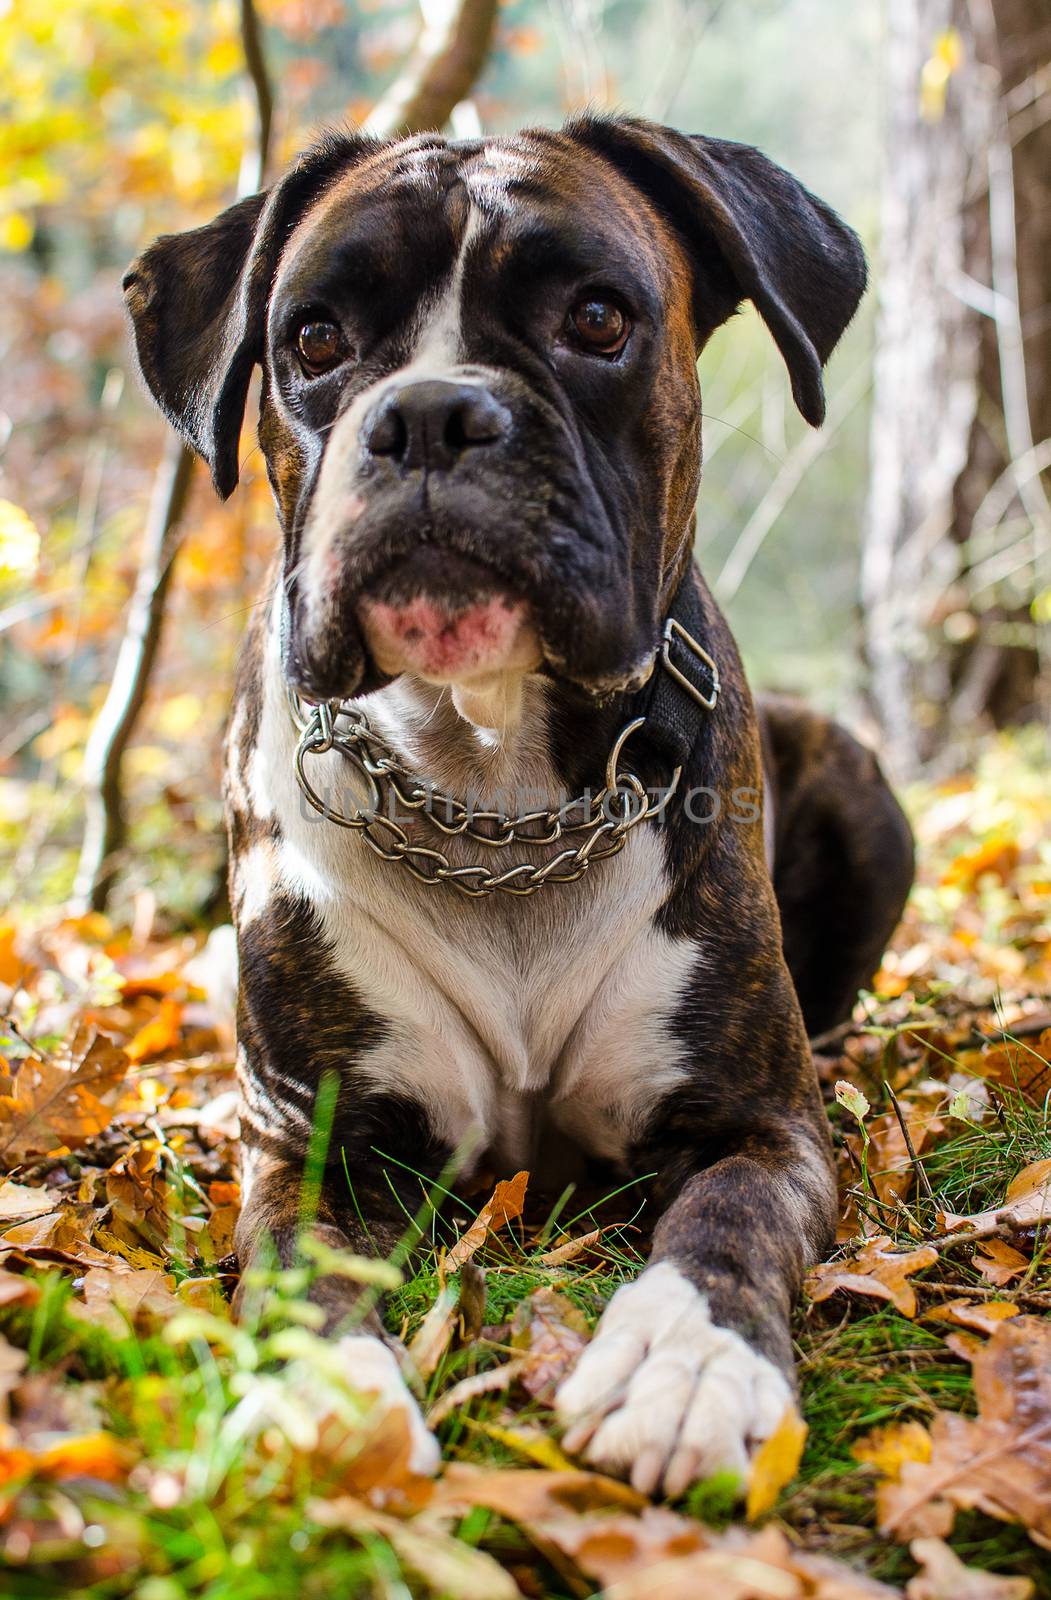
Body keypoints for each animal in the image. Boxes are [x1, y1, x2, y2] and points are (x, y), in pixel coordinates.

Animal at [120, 116, 908, 1497]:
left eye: (597, 317)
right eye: (312, 340)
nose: (430, 414)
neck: (497, 792)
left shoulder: (763, 1128)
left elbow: (726, 1221)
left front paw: (686, 1361)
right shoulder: (307, 1145)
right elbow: (301, 1282)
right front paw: (330, 1400)